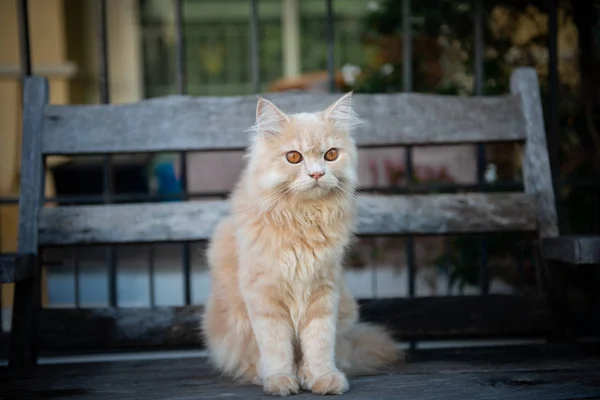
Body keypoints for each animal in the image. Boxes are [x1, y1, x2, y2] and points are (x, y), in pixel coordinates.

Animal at [203, 94, 404, 396]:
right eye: (294, 157)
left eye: (331, 155)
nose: (317, 174)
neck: (303, 219)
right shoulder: (264, 297)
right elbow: (275, 347)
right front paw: (280, 380)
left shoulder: (324, 292)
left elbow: (319, 344)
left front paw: (323, 378)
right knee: (247, 360)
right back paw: (265, 375)